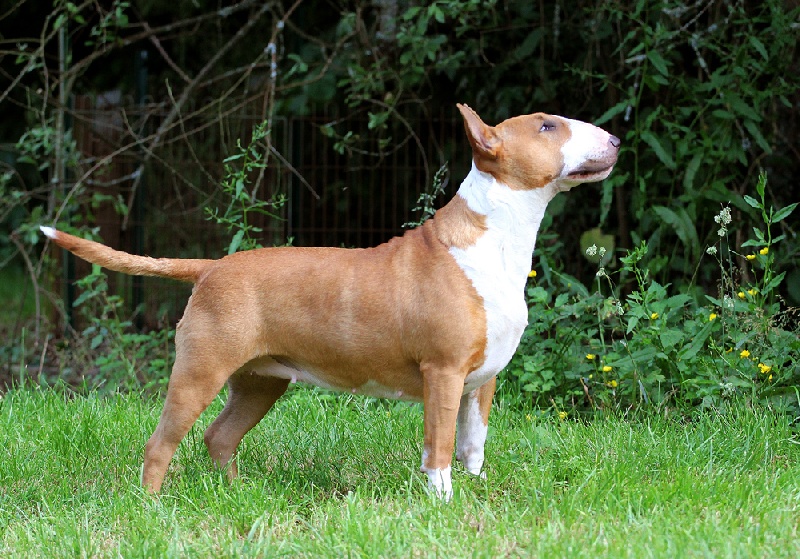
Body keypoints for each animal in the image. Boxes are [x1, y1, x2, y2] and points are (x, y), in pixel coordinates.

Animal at [41, 104, 619, 498]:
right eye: (547, 127)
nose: (615, 138)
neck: (495, 239)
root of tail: (212, 267)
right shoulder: (444, 372)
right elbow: (438, 450)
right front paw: (442, 505)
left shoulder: (481, 381)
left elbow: (472, 446)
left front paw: (474, 498)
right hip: (199, 371)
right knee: (161, 443)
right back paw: (153, 506)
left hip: (260, 382)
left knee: (220, 437)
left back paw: (238, 496)